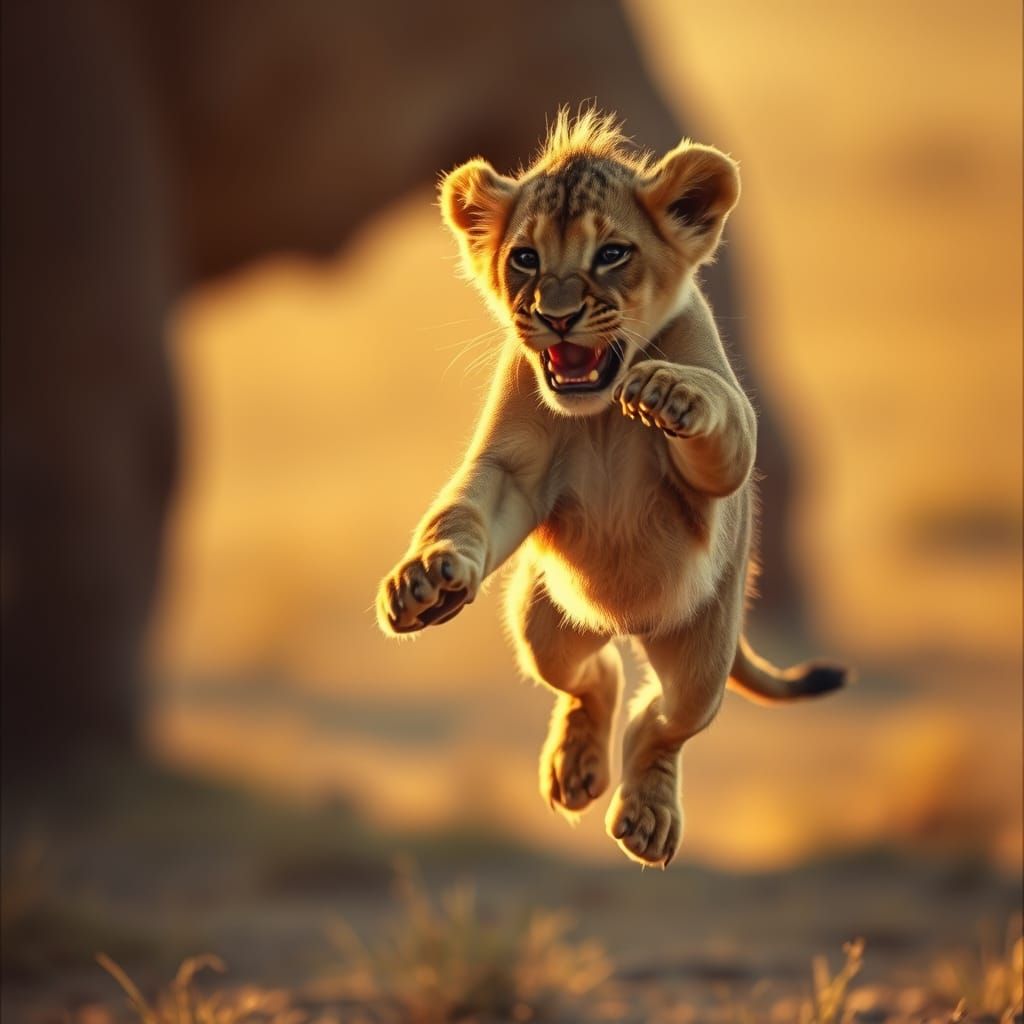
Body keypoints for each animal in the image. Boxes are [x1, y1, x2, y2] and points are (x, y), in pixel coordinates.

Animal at [377, 110, 848, 867]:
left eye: (613, 254)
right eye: (525, 258)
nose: (558, 315)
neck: (597, 414)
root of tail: (626, 626)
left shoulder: (724, 453)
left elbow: (723, 422)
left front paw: (670, 392)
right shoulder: (510, 467)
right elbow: (465, 511)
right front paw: (423, 582)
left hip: (703, 651)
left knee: (664, 721)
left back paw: (646, 816)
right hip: (542, 623)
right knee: (595, 678)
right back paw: (575, 767)